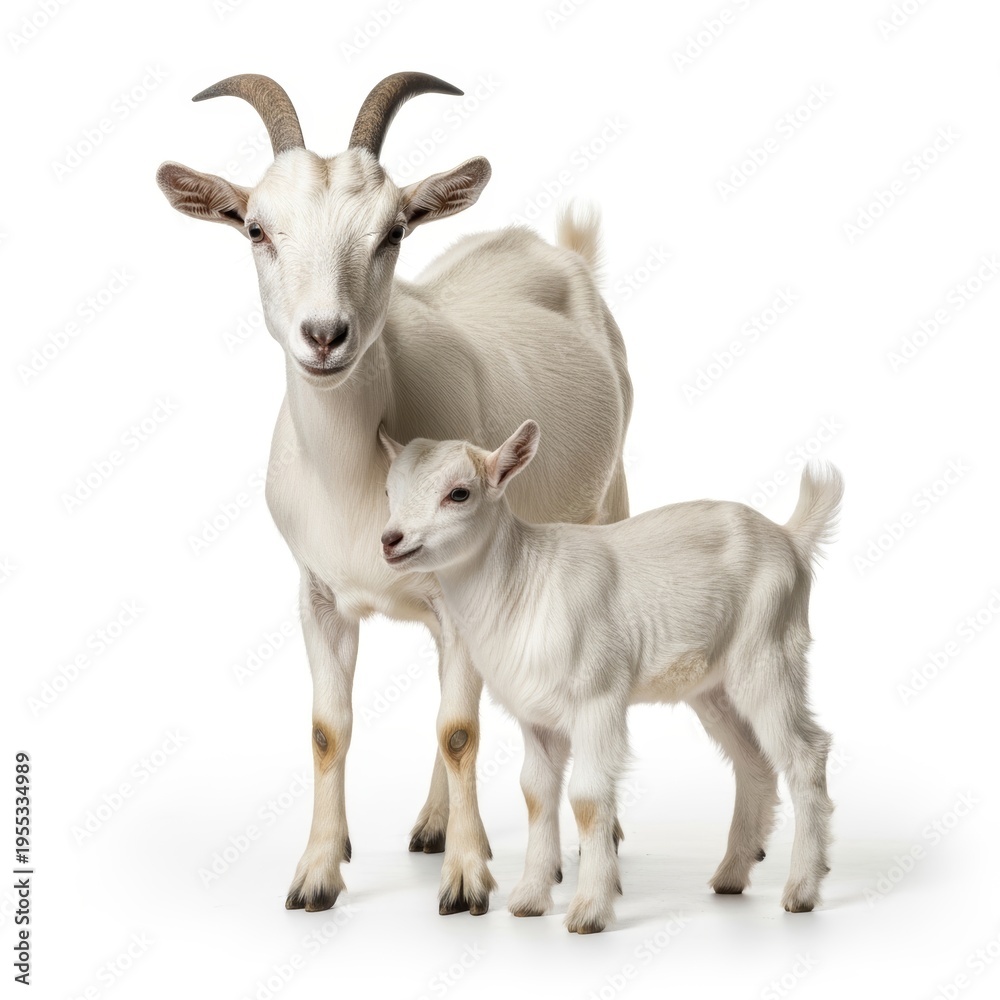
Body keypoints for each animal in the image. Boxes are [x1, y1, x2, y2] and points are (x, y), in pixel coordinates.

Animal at [155, 73, 633, 914]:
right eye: (255, 228)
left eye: (394, 230)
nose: (324, 335)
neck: (356, 478)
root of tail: (557, 251)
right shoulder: (318, 594)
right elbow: (329, 729)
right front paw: (318, 871)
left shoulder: (459, 592)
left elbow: (459, 730)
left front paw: (468, 881)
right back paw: (434, 824)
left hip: (613, 493)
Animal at [379, 420, 842, 933]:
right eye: (388, 491)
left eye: (459, 493)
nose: (390, 540)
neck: (524, 581)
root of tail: (790, 537)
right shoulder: (535, 717)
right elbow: (535, 794)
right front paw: (529, 900)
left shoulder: (597, 697)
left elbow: (586, 797)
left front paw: (589, 911)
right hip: (713, 687)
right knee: (753, 762)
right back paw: (731, 875)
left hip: (768, 654)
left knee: (805, 753)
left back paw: (801, 890)